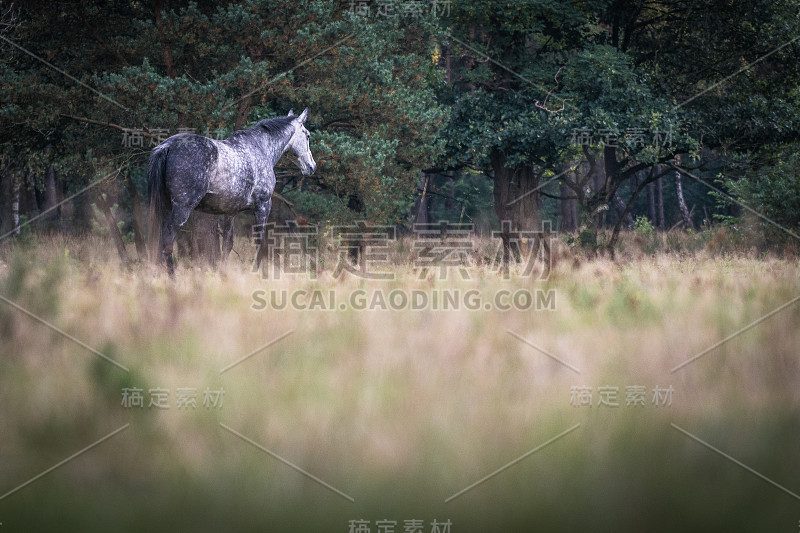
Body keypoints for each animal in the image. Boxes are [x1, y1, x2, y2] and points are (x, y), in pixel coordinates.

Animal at [149, 107, 316, 274]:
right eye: (307, 135)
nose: (312, 166)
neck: (261, 148)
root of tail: (168, 146)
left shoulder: (230, 212)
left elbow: (227, 245)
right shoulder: (263, 206)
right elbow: (260, 243)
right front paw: (261, 274)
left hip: (166, 207)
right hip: (182, 207)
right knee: (168, 241)